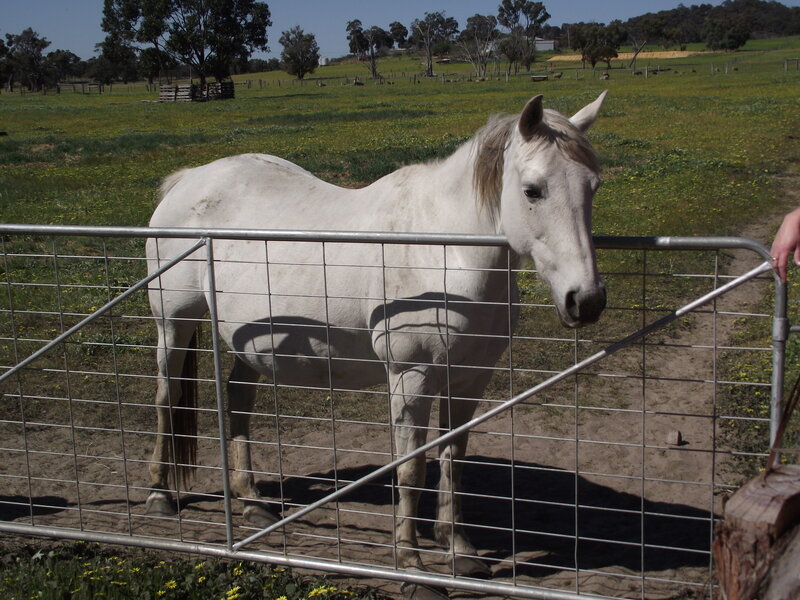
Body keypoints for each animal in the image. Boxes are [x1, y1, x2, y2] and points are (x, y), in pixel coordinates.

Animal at [144, 92, 608, 577]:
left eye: (593, 186)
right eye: (532, 190)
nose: (587, 300)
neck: (445, 253)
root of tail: (188, 180)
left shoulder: (469, 377)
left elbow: (453, 458)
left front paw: (459, 547)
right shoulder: (411, 377)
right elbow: (412, 468)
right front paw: (410, 560)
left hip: (249, 340)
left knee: (238, 397)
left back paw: (251, 500)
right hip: (173, 324)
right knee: (166, 397)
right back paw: (160, 495)